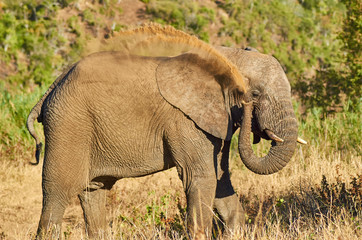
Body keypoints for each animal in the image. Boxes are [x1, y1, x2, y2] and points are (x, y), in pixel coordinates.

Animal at [26, 25, 306, 239]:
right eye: (255, 94)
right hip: (68, 124)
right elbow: (201, 178)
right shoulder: (184, 120)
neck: (224, 55)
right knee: (57, 192)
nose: (248, 107)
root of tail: (51, 89)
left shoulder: (217, 119)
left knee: (93, 190)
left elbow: (220, 178)